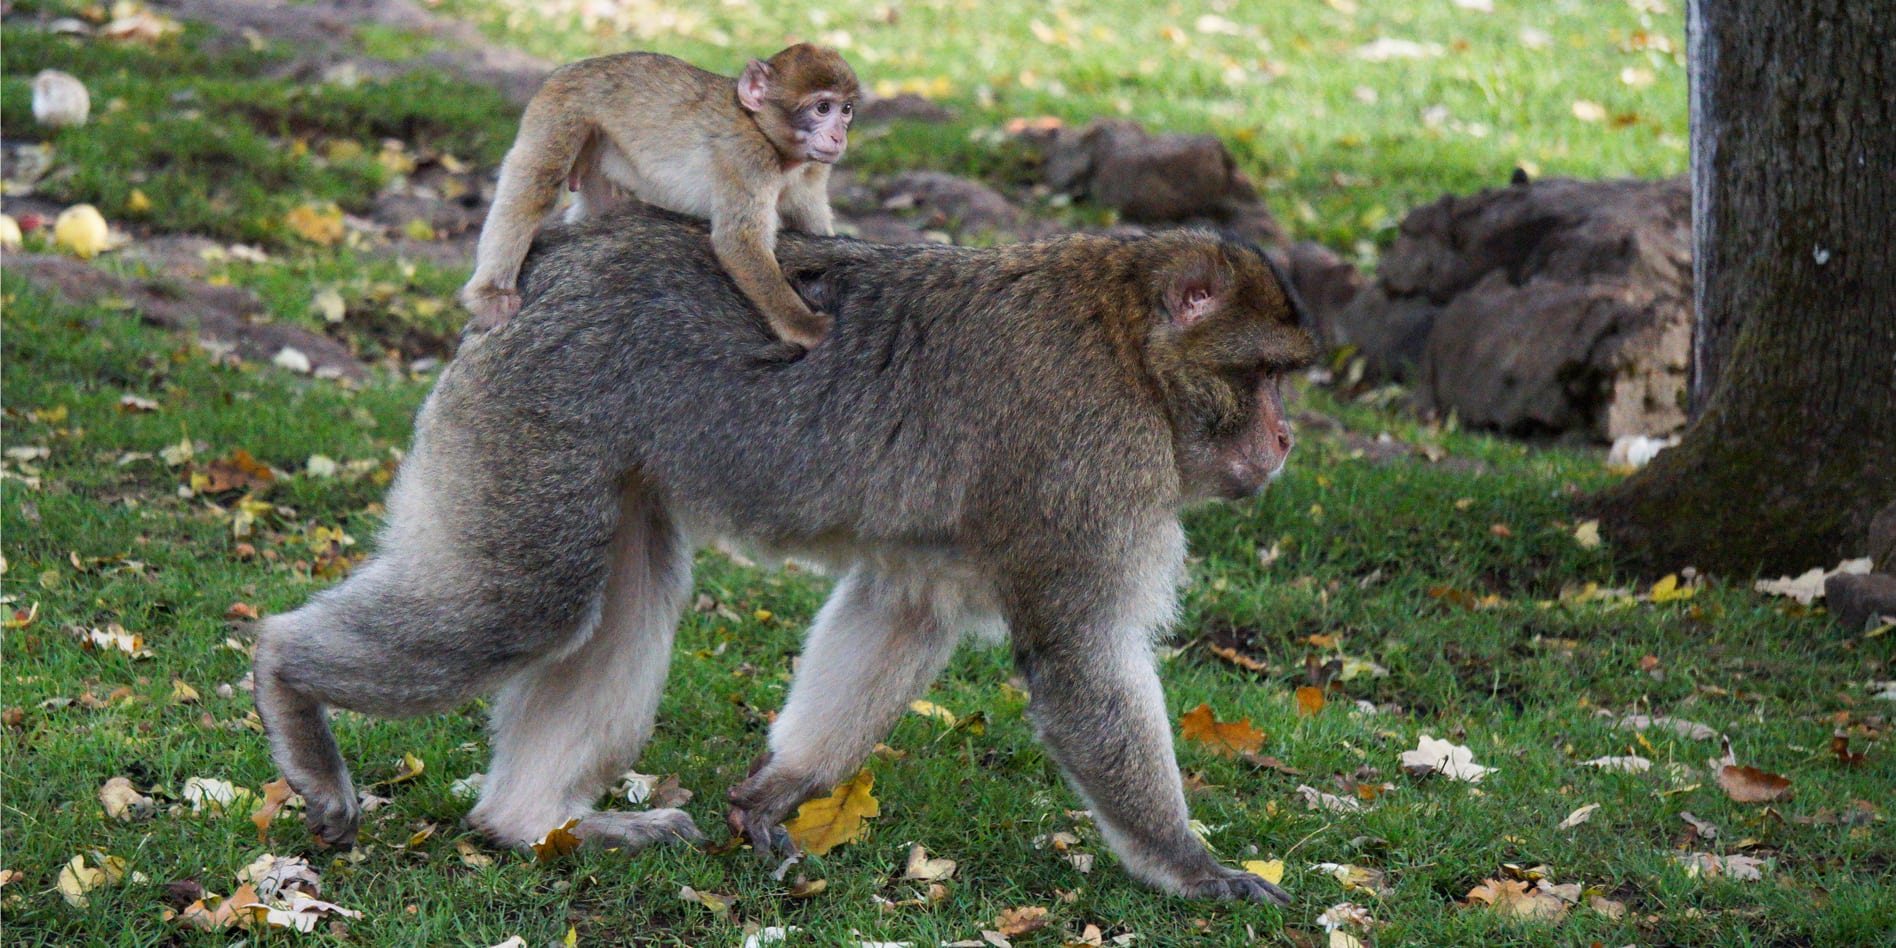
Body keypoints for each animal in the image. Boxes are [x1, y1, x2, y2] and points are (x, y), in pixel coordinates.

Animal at [466, 43, 860, 348]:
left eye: (846, 109)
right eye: (822, 108)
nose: (838, 137)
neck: (768, 136)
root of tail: (577, 65)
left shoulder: (812, 171)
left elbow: (810, 225)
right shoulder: (748, 158)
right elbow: (738, 243)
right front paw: (804, 326)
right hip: (562, 108)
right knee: (537, 180)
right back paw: (490, 292)